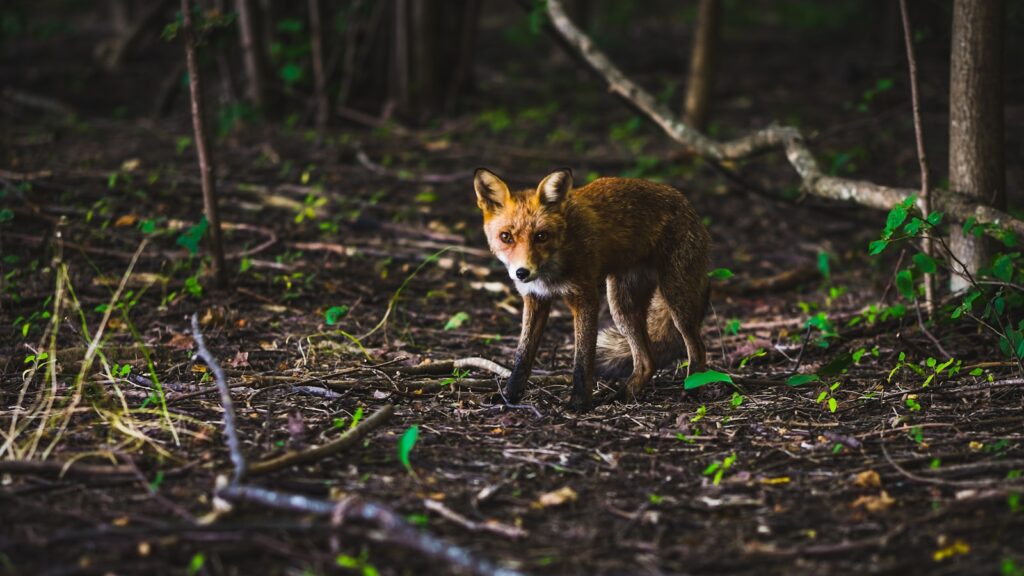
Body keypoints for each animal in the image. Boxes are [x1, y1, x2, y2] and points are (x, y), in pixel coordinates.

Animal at [474, 167, 711, 411]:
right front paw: (508, 396)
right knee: (647, 362)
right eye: (506, 237)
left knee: (698, 348)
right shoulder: (535, 300)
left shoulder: (585, 298)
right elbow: (522, 356)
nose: (522, 272)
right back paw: (623, 395)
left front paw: (579, 402)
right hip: (623, 307)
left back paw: (692, 392)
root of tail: (685, 202)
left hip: (675, 299)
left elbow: (583, 359)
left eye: (541, 236)